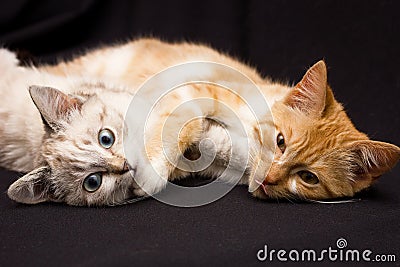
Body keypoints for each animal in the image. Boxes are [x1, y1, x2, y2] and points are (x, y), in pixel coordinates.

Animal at [3, 38, 400, 205]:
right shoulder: (192, 90)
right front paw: (151, 171)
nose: (270, 178)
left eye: (308, 178)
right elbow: (180, 124)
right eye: (280, 141)